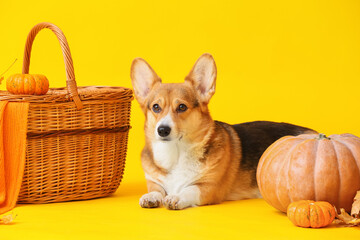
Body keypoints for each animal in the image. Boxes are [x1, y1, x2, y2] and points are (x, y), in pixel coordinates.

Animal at [129, 53, 316, 210]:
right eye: (156, 107)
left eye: (182, 107)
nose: (162, 130)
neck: (176, 153)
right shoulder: (153, 181)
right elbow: (156, 189)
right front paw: (151, 197)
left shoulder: (209, 187)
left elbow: (190, 189)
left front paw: (177, 197)